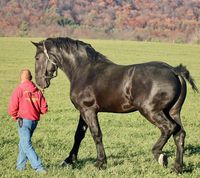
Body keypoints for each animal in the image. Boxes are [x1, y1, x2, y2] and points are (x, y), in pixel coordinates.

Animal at [32, 37, 198, 172]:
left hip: (151, 111)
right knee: (179, 134)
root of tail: (173, 70)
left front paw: (100, 163)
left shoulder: (89, 110)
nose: (40, 82)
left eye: (37, 57)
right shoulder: (82, 111)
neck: (83, 70)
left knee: (168, 128)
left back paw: (160, 155)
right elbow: (79, 135)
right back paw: (177, 168)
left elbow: (96, 134)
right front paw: (68, 160)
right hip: (172, 112)